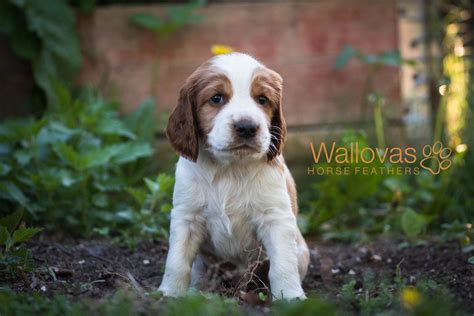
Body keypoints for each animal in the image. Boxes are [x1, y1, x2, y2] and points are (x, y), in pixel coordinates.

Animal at [157, 52, 310, 302]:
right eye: (216, 98)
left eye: (262, 99)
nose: (246, 127)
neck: (230, 168)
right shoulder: (186, 216)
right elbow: (177, 261)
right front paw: (169, 294)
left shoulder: (275, 217)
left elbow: (282, 264)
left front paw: (290, 297)